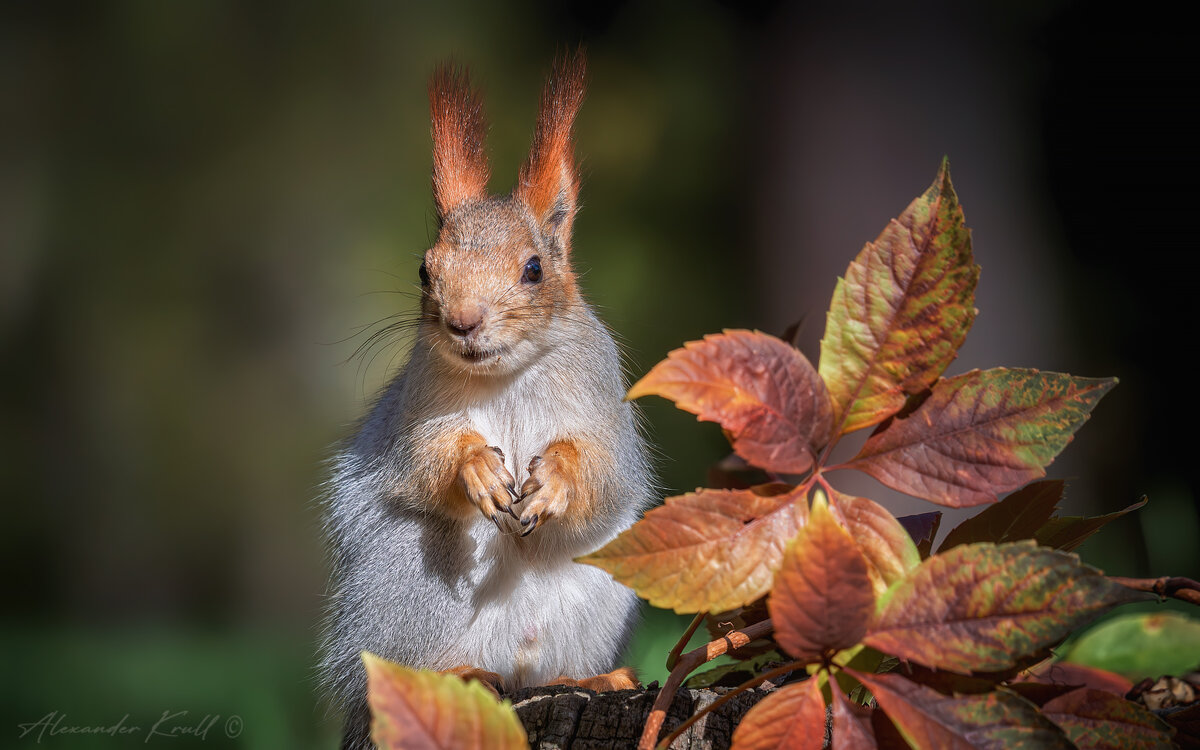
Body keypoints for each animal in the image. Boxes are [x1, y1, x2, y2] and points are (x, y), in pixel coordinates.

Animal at [319, 49, 652, 744]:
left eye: (534, 269)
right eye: (424, 269)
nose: (462, 321)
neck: (507, 373)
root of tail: (513, 662)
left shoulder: (604, 402)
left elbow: (605, 472)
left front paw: (556, 479)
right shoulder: (416, 409)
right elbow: (423, 461)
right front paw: (474, 467)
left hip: (602, 587)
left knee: (552, 666)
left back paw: (594, 677)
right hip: (407, 587)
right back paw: (460, 673)